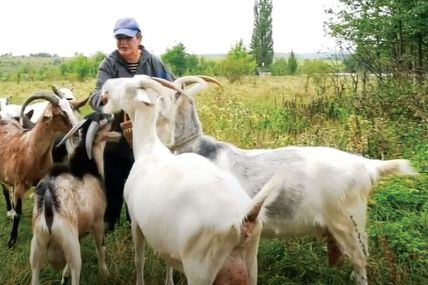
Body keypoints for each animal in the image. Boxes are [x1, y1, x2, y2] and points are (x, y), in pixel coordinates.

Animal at [30, 111, 120, 284]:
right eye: (104, 122)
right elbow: (101, 248)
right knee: (75, 272)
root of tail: (49, 204)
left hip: (37, 245)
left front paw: (63, 275)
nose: (113, 114)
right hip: (71, 245)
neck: (87, 169)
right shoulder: (98, 221)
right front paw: (105, 273)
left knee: (35, 271)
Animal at [100, 75, 280, 284]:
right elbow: (168, 263)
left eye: (130, 86)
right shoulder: (167, 242)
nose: (105, 88)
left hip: (200, 269)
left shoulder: (136, 222)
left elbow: (139, 260)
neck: (149, 148)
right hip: (250, 264)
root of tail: (244, 218)